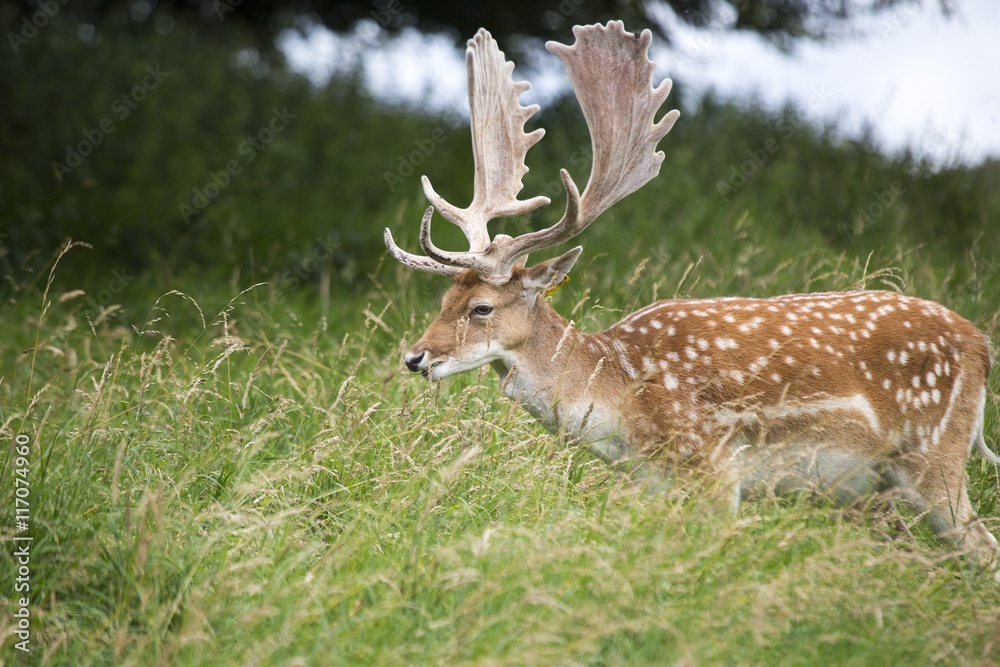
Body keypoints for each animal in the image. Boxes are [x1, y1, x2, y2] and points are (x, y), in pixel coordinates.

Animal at [384, 20, 1000, 564]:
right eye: (442, 301)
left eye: (481, 307)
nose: (415, 357)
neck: (621, 398)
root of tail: (981, 346)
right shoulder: (654, 483)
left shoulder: (714, 467)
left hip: (934, 456)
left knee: (982, 548)